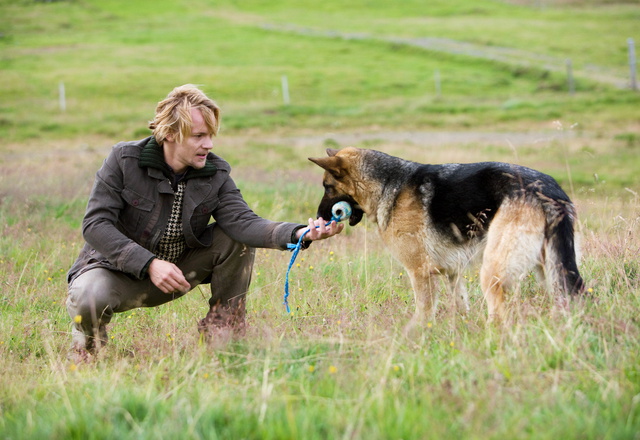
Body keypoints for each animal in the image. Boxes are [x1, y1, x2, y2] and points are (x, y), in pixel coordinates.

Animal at [310, 148, 584, 324]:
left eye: (327, 187)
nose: (318, 219)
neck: (388, 185)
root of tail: (548, 191)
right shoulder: (453, 273)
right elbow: (460, 304)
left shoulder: (420, 273)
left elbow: (423, 313)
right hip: (550, 272)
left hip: (493, 272)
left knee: (500, 317)